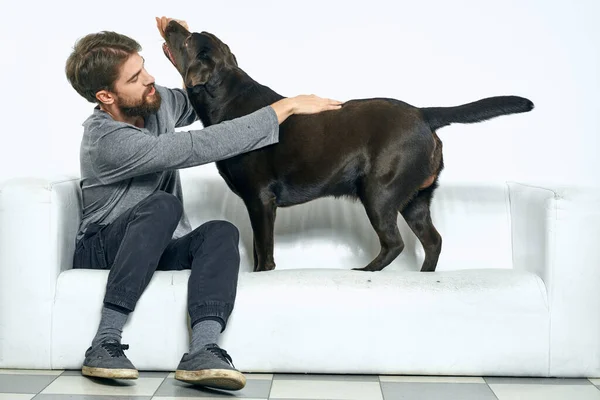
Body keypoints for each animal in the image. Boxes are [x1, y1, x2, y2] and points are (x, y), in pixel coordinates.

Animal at [162, 21, 532, 272]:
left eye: (189, 38)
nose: (172, 23)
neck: (228, 99)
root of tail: (423, 113)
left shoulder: (260, 199)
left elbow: (263, 252)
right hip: (415, 198)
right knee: (433, 241)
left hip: (380, 191)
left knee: (395, 243)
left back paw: (366, 271)